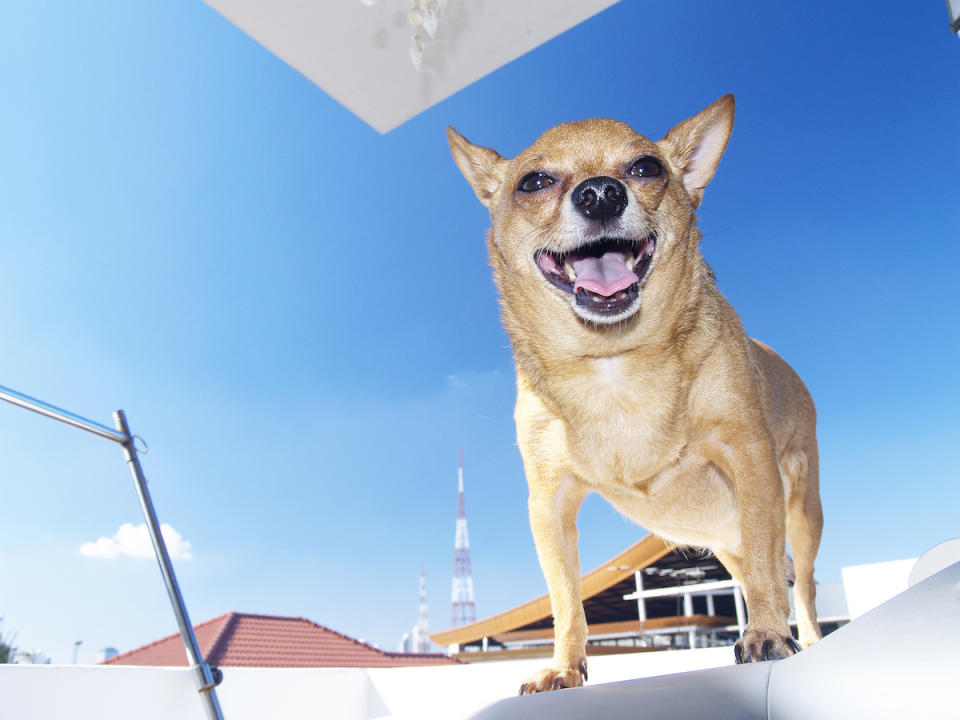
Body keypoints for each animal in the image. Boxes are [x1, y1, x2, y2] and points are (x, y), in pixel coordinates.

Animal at [450, 95, 824, 692]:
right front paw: (564, 666)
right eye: (533, 181)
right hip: (728, 542)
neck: (615, 361)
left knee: (798, 580)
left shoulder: (748, 459)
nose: (601, 192)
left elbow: (770, 571)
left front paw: (767, 633)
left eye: (647, 168)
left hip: (801, 513)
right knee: (750, 570)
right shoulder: (550, 505)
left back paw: (802, 636)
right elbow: (566, 600)